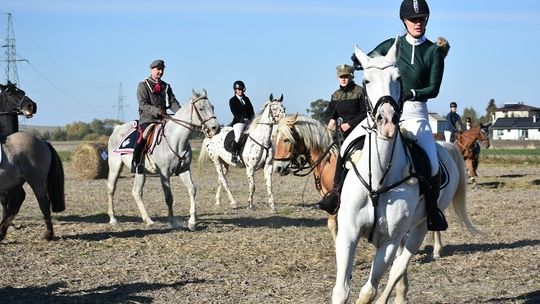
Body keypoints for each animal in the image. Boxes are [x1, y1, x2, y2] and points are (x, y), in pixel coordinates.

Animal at [0, 82, 65, 240]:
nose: (32, 105)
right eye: (10, 93)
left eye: (22, 91)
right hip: (16, 181)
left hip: (36, 180)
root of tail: (42, 141)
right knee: (16, 201)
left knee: (43, 203)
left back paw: (48, 234)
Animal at [106, 89, 219, 230]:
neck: (176, 139)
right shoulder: (164, 173)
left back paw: (148, 220)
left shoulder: (184, 170)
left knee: (137, 192)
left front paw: (192, 222)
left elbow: (192, 189)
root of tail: (117, 128)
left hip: (140, 172)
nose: (216, 128)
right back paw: (113, 219)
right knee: (111, 188)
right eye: (201, 108)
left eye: (212, 107)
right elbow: (169, 197)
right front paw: (172, 221)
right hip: (115, 167)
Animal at [332, 38, 478, 304]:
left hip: (420, 226)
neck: (378, 180)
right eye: (366, 81)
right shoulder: (347, 233)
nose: (387, 123)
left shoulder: (389, 240)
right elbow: (341, 290)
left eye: (398, 78)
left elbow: (369, 289)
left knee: (399, 267)